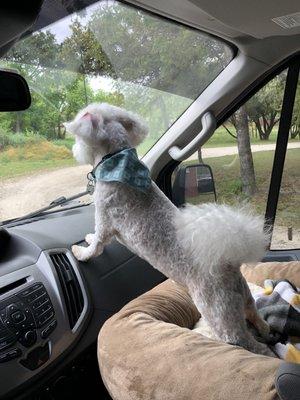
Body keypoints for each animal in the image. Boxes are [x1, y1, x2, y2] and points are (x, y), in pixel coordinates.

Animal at [65, 102, 274, 356]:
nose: (73, 148)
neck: (116, 160)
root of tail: (227, 264)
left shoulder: (105, 219)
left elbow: (96, 244)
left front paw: (80, 251)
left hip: (219, 312)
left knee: (249, 344)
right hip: (243, 296)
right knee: (256, 317)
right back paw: (266, 332)